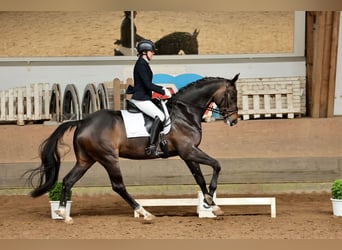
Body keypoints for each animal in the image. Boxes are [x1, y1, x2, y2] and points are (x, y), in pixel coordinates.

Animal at [26, 74, 238, 223]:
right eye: (233, 95)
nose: (234, 121)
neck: (184, 112)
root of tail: (82, 122)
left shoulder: (187, 154)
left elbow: (199, 177)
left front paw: (210, 203)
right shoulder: (188, 150)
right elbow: (216, 165)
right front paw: (211, 201)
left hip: (86, 159)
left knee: (68, 180)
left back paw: (63, 213)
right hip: (109, 158)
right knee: (118, 186)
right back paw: (144, 212)